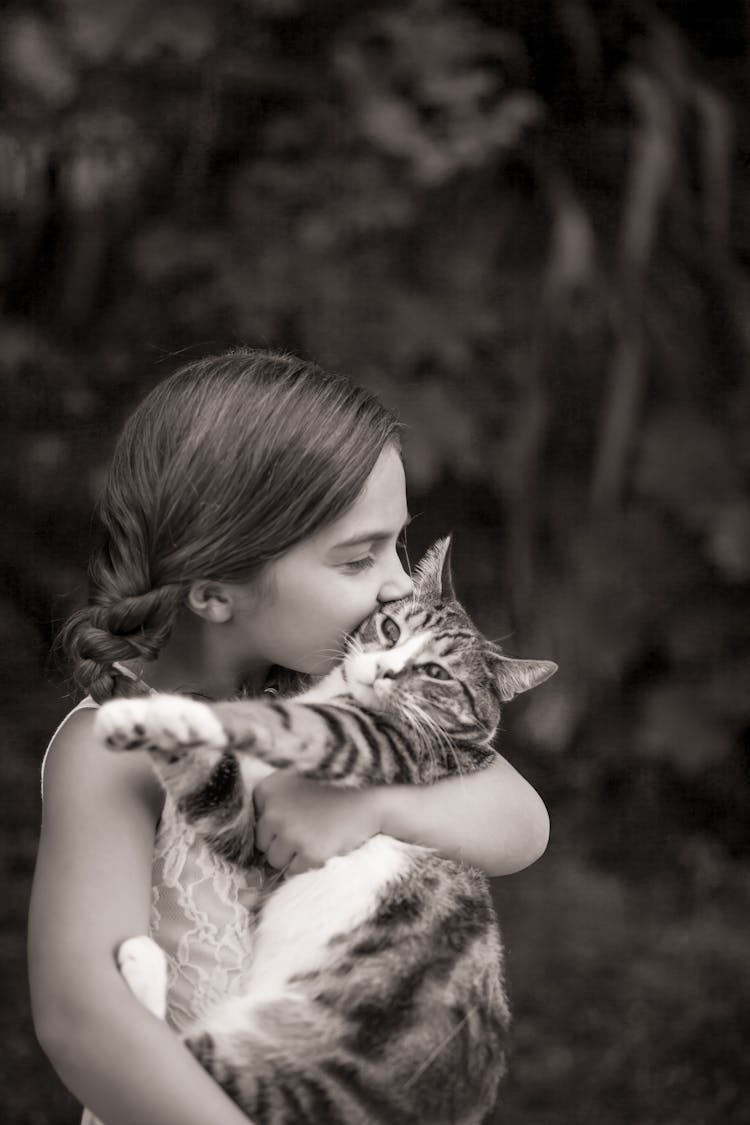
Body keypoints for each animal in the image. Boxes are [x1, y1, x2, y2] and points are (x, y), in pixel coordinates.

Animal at [95, 540, 557, 1120]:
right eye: (390, 628)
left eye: (435, 672)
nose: (383, 670)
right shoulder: (246, 830)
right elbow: (212, 778)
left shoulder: (379, 746)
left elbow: (287, 723)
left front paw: (164, 708)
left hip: (304, 1086)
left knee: (186, 1059)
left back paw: (143, 962)